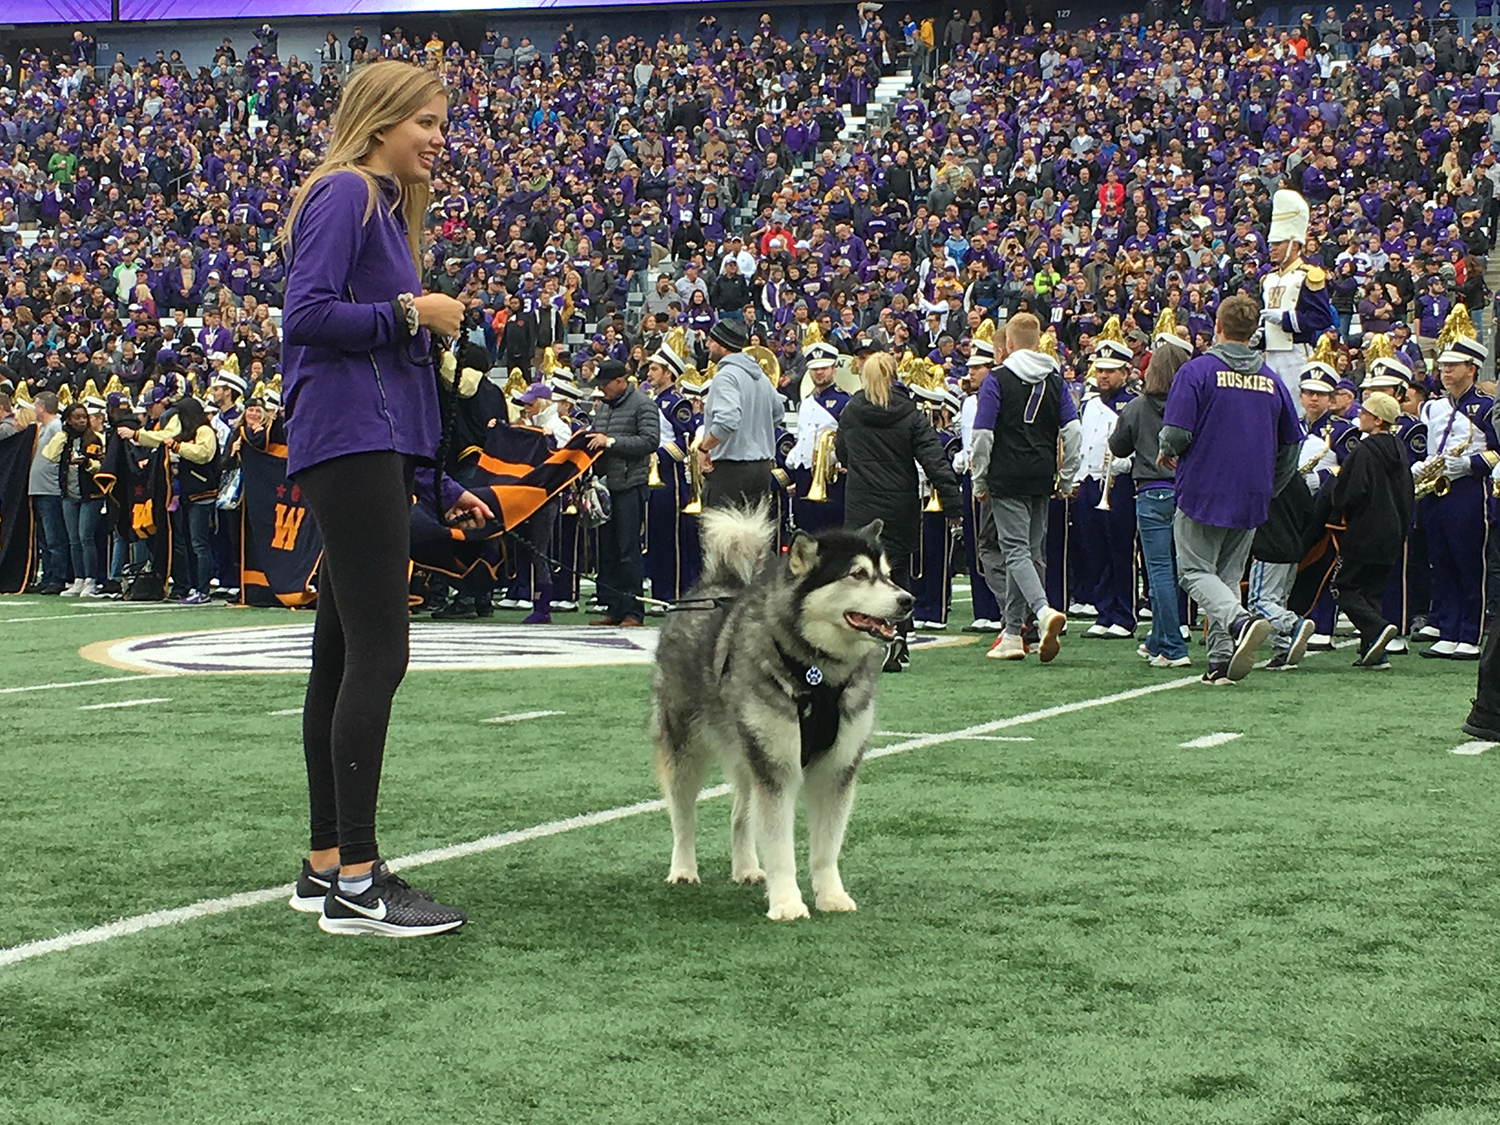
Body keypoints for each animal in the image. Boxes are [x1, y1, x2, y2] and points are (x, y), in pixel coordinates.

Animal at [648, 507, 906, 918]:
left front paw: (831, 896)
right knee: (683, 815)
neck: (818, 673)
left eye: (887, 574)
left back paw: (747, 868)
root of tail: (715, 586)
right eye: (857, 574)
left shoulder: (837, 769)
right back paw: (684, 869)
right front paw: (787, 902)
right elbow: (780, 846)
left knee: (740, 814)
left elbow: (826, 848)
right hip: (685, 745)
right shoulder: (777, 766)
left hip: (747, 748)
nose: (907, 600)